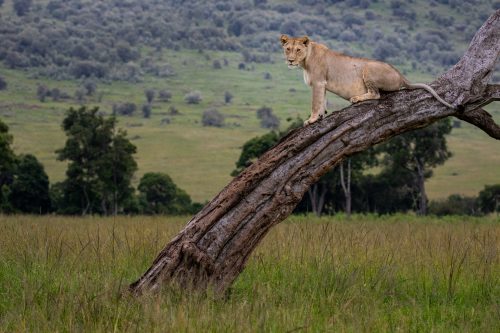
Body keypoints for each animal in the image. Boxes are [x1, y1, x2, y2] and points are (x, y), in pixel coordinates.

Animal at [280, 34, 456, 124]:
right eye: (288, 49)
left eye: (298, 50)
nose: (290, 60)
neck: (305, 61)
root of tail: (400, 75)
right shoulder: (322, 84)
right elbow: (322, 101)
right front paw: (321, 116)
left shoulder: (318, 82)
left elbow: (315, 103)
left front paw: (311, 120)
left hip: (368, 67)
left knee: (376, 94)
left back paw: (356, 98)